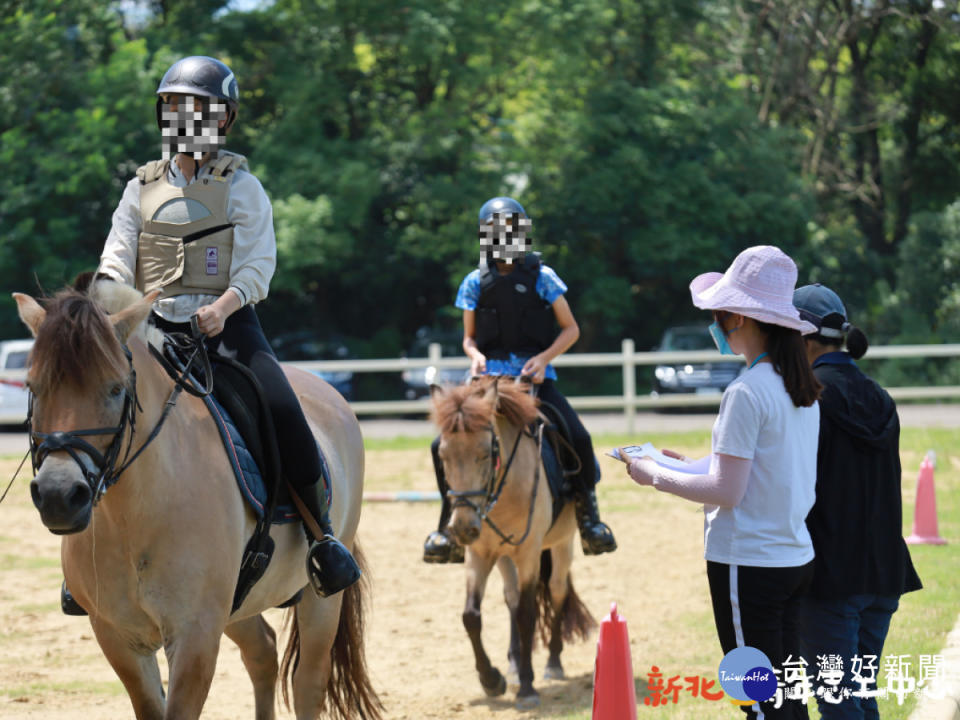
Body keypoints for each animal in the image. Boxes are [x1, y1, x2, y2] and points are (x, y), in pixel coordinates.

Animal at [13, 282, 382, 720]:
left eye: (117, 388)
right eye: (34, 388)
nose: (58, 496)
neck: (133, 520)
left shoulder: (195, 636)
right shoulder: (117, 636)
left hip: (320, 599)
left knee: (308, 681)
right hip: (240, 603)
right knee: (263, 652)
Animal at [432, 376, 596, 708]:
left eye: (486, 452)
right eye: (442, 457)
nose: (463, 527)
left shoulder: (529, 553)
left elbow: (527, 613)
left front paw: (527, 687)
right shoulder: (478, 554)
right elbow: (471, 616)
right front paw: (492, 680)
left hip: (562, 544)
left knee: (557, 592)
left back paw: (552, 664)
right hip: (504, 555)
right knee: (511, 597)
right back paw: (514, 663)